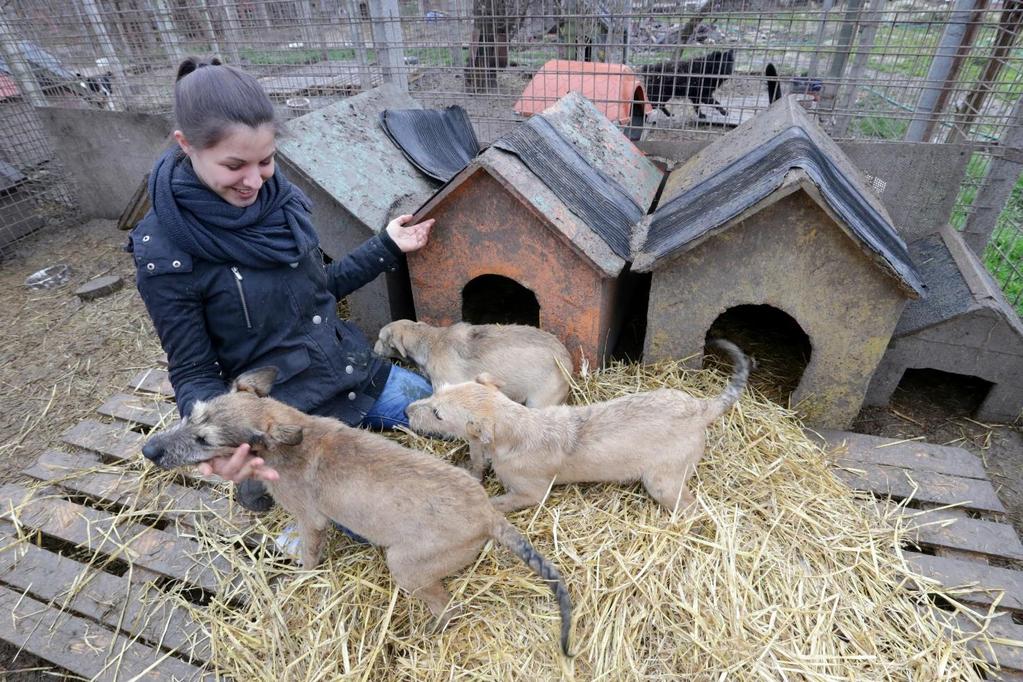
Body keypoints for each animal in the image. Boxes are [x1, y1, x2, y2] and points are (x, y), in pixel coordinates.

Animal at [142, 370, 576, 658]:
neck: (287, 438)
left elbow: (309, 557)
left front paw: (300, 579)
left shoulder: (311, 520)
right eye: (191, 414)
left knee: (448, 606)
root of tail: (488, 515)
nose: (149, 450)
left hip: (405, 565)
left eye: (205, 440)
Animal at [407, 339, 752, 515]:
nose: (408, 410)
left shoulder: (532, 493)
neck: (515, 427)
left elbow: (497, 503)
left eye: (438, 413)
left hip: (663, 482)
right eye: (439, 390)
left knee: (691, 508)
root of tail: (700, 409)